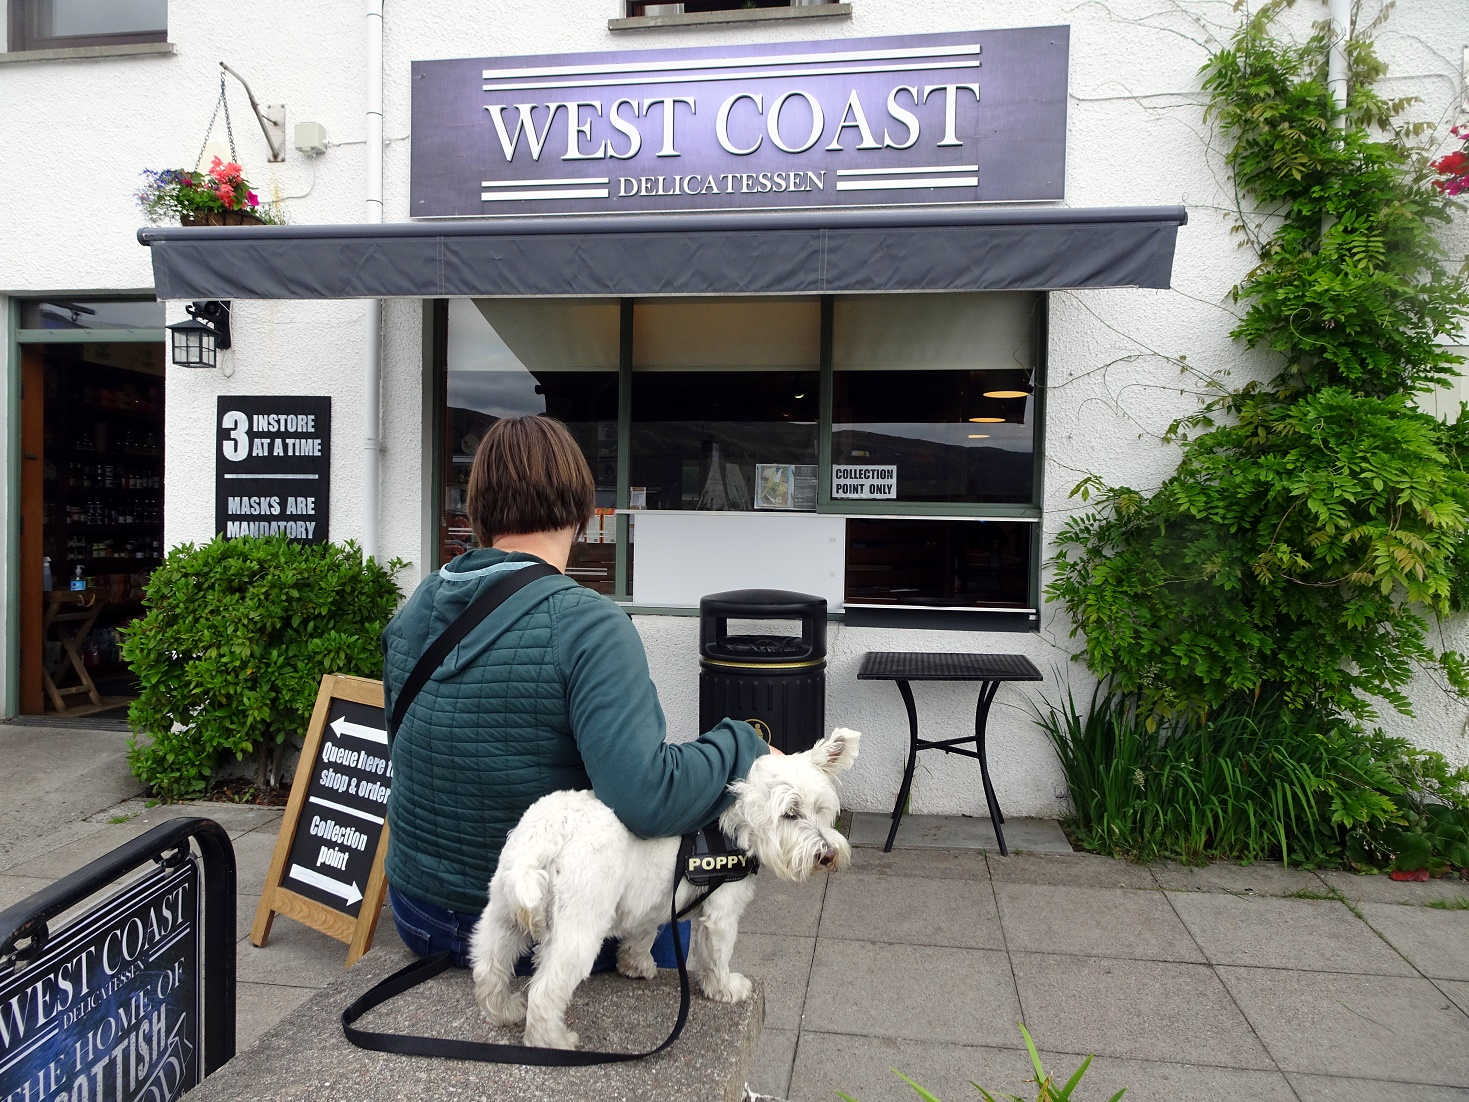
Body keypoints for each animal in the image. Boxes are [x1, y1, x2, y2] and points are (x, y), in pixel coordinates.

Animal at [470, 728, 857, 1046]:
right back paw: (552, 1040)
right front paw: (725, 988)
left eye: (821, 809)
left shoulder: (653, 901)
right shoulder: (721, 914)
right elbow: (717, 956)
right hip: (578, 929)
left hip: (502, 915)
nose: (827, 854)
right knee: (545, 992)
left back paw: (504, 1011)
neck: (732, 824)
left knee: (488, 966)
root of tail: (548, 833)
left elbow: (644, 934)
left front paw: (635, 965)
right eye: (790, 813)